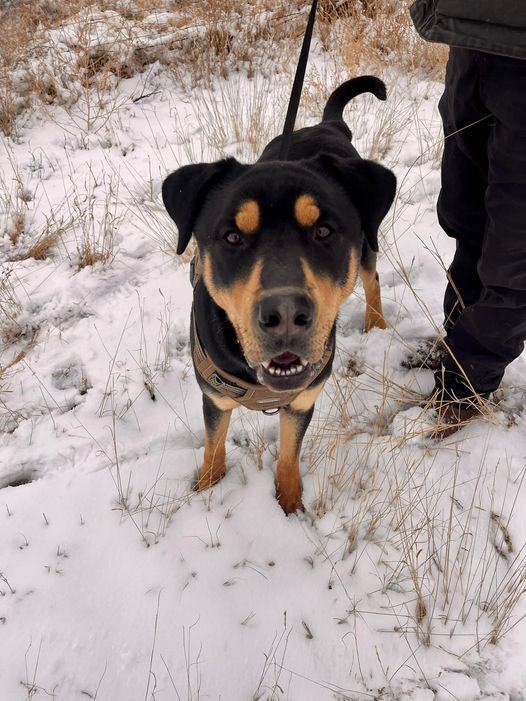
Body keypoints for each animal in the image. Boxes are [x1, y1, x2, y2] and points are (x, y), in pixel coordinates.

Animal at [163, 76, 398, 512]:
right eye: (232, 237)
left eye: (324, 230)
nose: (286, 314)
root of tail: (328, 124)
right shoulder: (215, 396)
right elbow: (213, 446)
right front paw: (206, 487)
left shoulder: (303, 400)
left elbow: (289, 454)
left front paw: (290, 504)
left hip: (367, 248)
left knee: (372, 278)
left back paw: (375, 321)